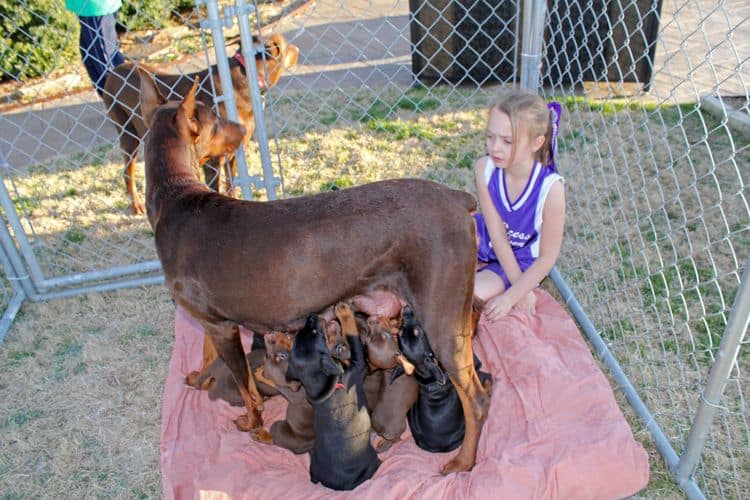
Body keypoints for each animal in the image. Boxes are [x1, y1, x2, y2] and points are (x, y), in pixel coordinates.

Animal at [102, 34, 300, 214]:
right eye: (285, 45)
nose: (297, 48)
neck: (246, 75)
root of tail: (114, 70)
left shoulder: (234, 152)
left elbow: (231, 184)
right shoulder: (212, 162)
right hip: (127, 135)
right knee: (127, 172)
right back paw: (136, 205)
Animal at [288, 306, 382, 490]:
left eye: (308, 331)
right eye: (315, 332)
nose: (311, 316)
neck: (325, 386)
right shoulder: (358, 365)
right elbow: (353, 337)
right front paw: (344, 312)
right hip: (370, 459)